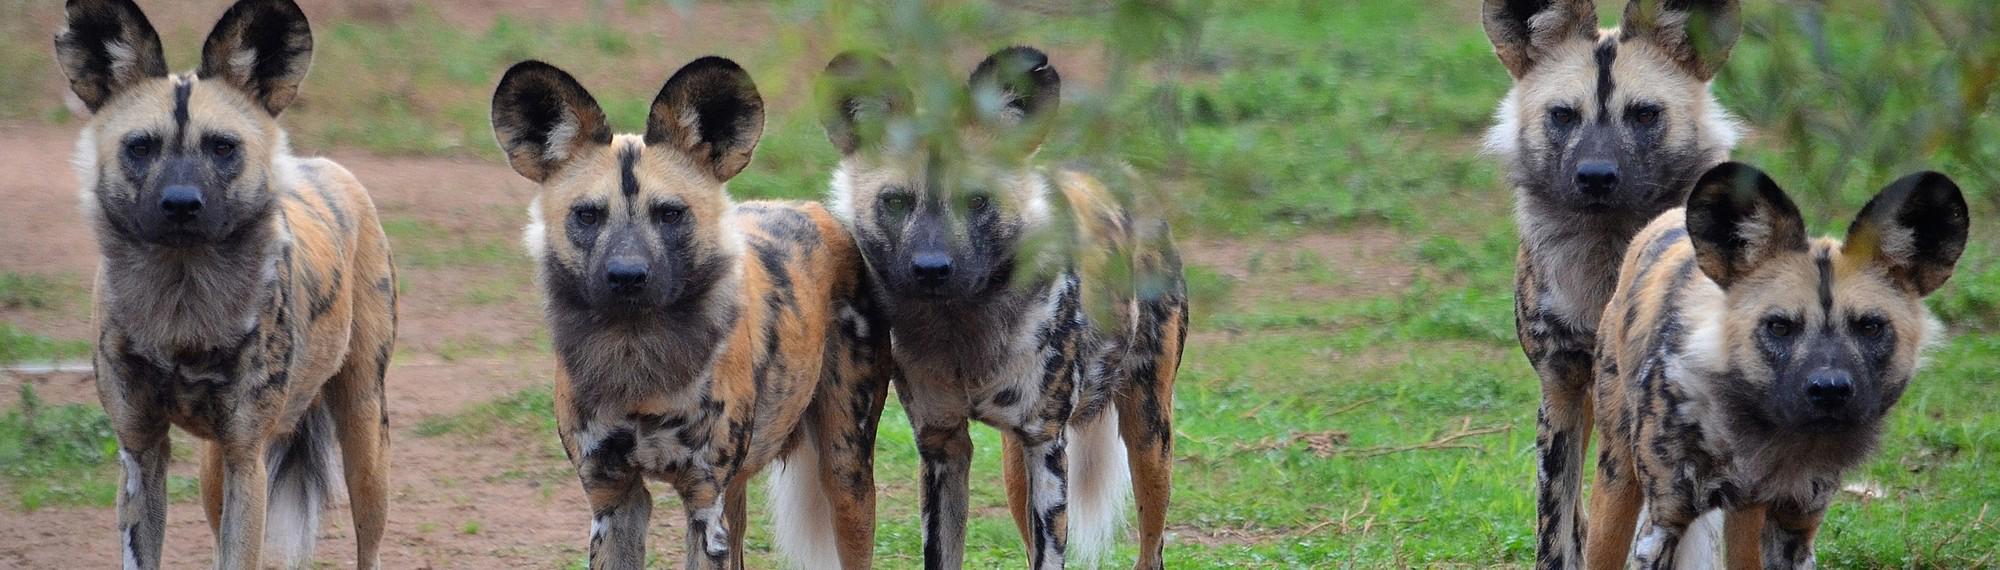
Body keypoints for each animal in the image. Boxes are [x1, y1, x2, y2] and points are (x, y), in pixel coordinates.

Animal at [56, 1, 394, 568]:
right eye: (140, 147)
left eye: (221, 147)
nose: (180, 203)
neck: (182, 306)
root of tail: (322, 164)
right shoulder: (141, 451)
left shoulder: (246, 457)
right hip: (213, 467)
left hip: (364, 440)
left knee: (368, 541)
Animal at [492, 55, 892, 564]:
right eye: (587, 215)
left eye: (670, 214)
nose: (627, 276)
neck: (637, 362)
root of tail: (813, 209)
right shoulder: (612, 501)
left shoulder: (704, 503)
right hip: (738, 491)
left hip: (845, 476)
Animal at [816, 46, 1184, 564]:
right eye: (895, 201)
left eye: (977, 201)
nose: (932, 268)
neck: (960, 330)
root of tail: (1124, 173)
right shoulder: (942, 445)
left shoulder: (1047, 445)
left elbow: (1052, 556)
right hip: (1016, 464)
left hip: (1149, 435)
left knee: (1152, 546)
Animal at [1480, 1, 1744, 564]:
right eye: (1563, 115)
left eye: (1644, 114)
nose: (1596, 175)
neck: (1608, 259)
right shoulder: (1560, 389)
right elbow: (1556, 527)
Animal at [1592, 162, 1968, 564]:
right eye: (1779, 326)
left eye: (1869, 326)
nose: (1830, 390)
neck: (1766, 435)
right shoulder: (1664, 522)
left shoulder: (1796, 527)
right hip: (1616, 486)